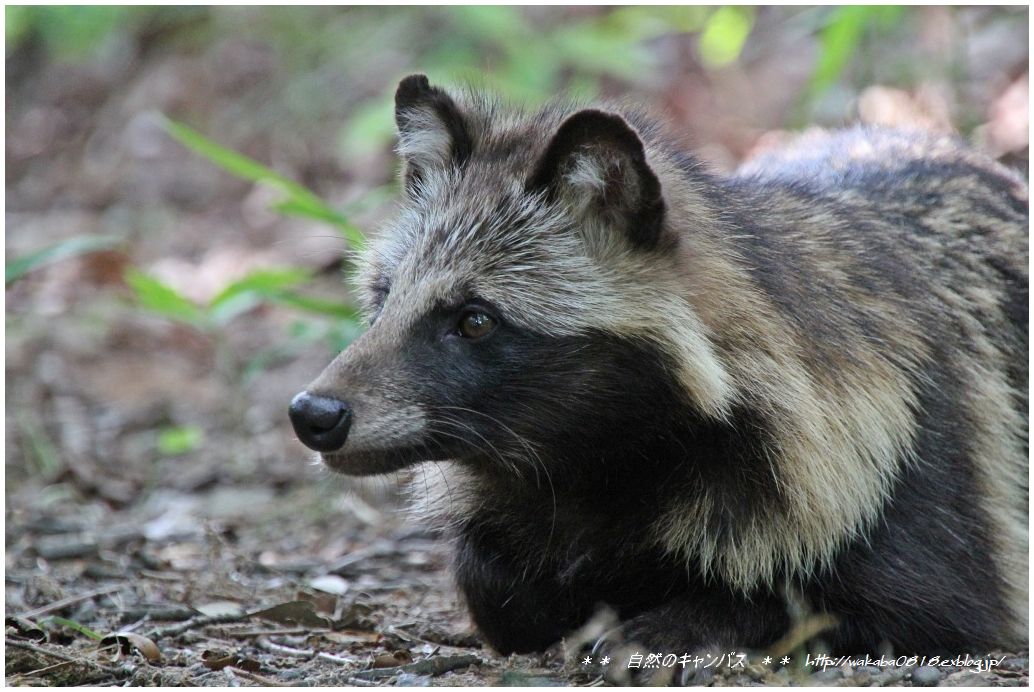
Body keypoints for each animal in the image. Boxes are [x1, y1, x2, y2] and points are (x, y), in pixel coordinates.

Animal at [289, 75, 1025, 657]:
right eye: (384, 298)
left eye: (473, 320)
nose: (314, 413)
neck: (598, 463)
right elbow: (492, 582)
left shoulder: (903, 464)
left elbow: (920, 603)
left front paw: (696, 615)